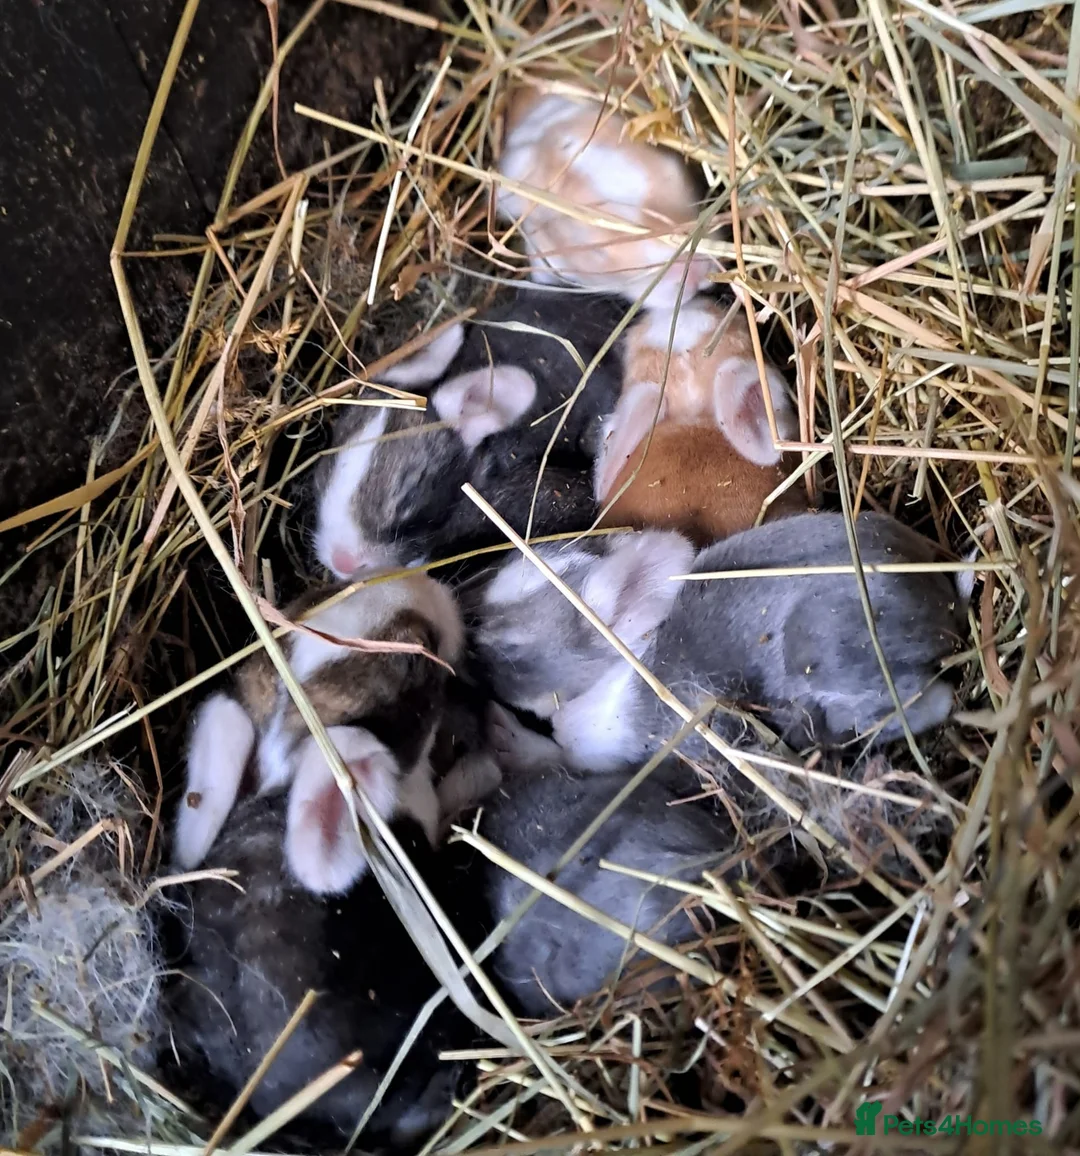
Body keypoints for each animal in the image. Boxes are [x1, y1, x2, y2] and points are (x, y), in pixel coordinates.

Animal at [469, 511, 965, 772]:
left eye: (510, 644)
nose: (469, 641)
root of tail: (945, 613)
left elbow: (555, 756)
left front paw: (503, 736)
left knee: (934, 702)